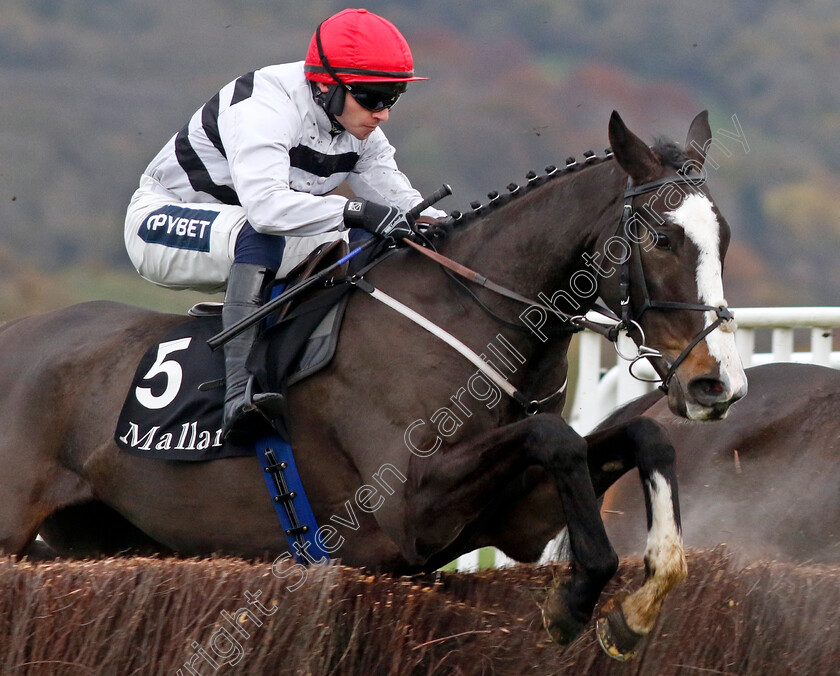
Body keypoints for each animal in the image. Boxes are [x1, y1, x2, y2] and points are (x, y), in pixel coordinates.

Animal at [1, 112, 748, 660]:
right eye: (659, 239)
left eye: (724, 238)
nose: (718, 383)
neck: (473, 316)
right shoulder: (408, 510)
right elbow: (553, 435)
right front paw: (576, 601)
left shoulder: (514, 519)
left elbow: (644, 435)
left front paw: (638, 605)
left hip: (109, 540)